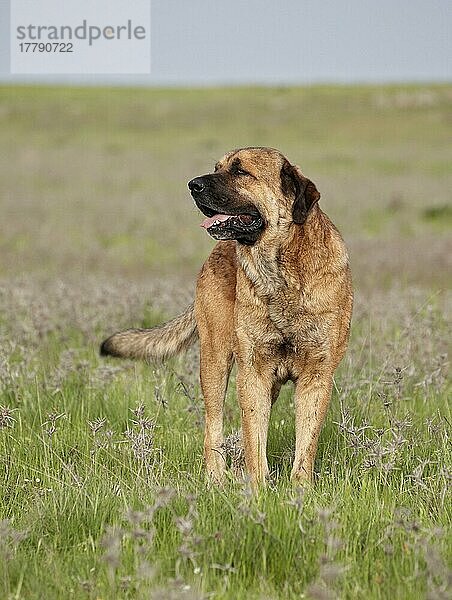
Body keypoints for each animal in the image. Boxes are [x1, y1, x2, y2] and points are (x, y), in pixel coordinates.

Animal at [101, 146, 354, 488]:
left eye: (240, 171)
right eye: (217, 167)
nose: (192, 185)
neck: (281, 272)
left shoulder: (317, 375)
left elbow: (306, 444)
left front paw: (300, 490)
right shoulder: (253, 373)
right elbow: (253, 438)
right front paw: (258, 488)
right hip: (215, 360)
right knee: (213, 424)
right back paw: (215, 478)